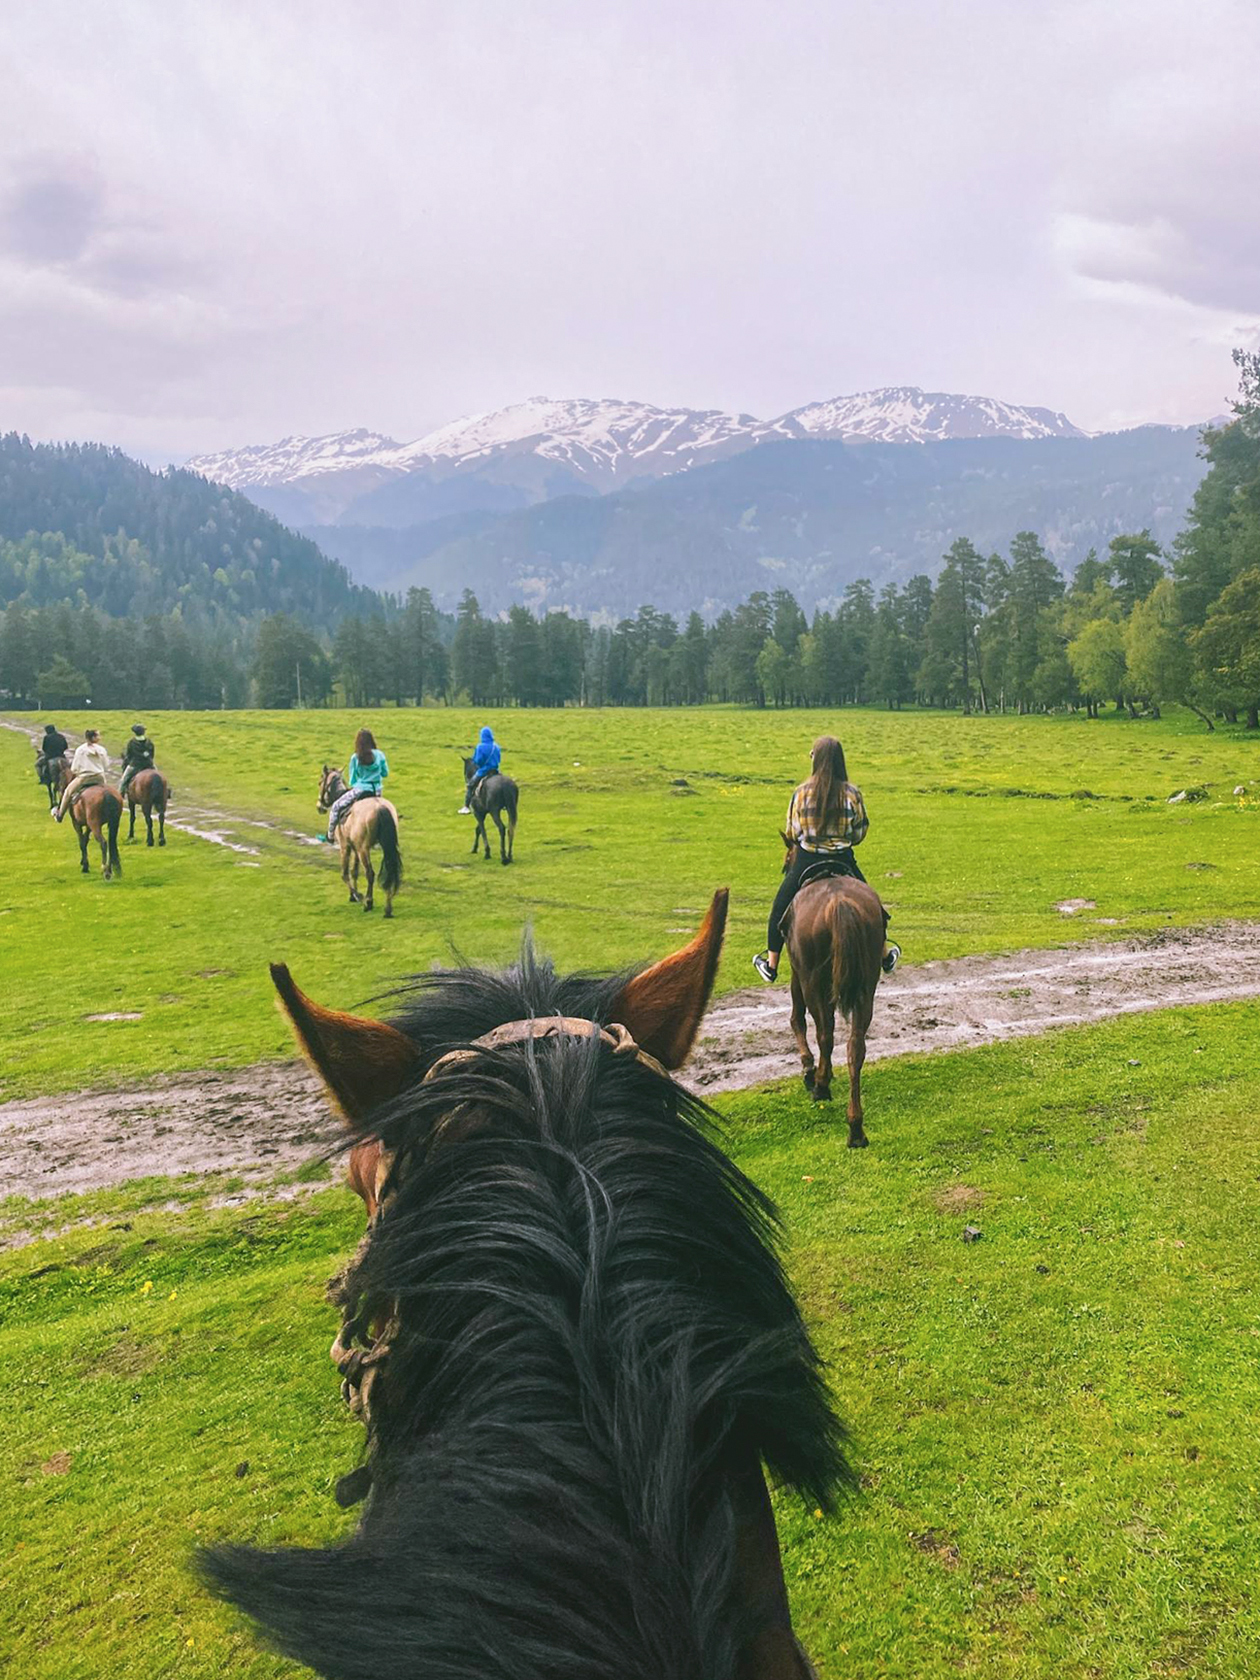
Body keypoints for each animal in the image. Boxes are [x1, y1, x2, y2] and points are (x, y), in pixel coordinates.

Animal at [317, 766, 401, 920]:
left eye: (320, 783)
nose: (319, 807)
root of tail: (380, 807)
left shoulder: (345, 846)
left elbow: (344, 874)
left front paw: (359, 897)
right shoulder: (355, 847)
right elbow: (354, 871)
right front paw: (353, 896)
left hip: (364, 850)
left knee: (370, 873)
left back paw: (368, 901)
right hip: (386, 846)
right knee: (390, 868)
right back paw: (388, 908)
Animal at [779, 836, 887, 1149]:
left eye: (787, 861)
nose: (785, 867)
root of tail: (840, 902)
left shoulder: (798, 972)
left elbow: (796, 1018)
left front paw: (808, 1070)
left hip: (814, 980)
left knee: (824, 1033)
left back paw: (821, 1086)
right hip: (867, 984)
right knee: (856, 1046)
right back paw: (856, 1129)